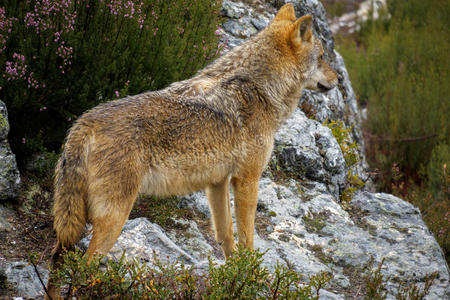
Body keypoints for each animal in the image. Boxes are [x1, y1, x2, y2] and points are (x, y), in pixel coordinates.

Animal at [46, 3, 338, 298]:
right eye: (322, 57)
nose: (337, 78)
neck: (258, 88)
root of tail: (83, 124)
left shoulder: (217, 183)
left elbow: (226, 235)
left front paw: (235, 278)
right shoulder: (247, 180)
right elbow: (247, 239)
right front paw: (251, 276)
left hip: (74, 225)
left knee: (57, 260)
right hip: (114, 219)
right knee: (81, 269)